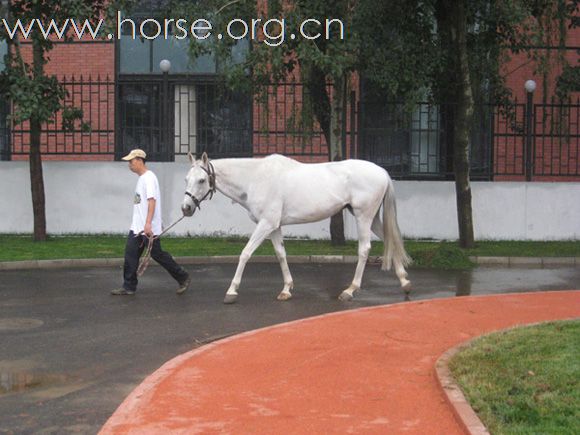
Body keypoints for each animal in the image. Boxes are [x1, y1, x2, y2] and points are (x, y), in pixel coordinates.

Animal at [181, 155, 412, 304]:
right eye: (187, 179)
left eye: (201, 180)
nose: (186, 208)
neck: (256, 178)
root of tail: (382, 171)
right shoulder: (274, 226)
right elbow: (281, 254)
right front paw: (286, 289)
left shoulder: (266, 224)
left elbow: (245, 253)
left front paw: (232, 291)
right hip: (371, 219)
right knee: (390, 240)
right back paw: (404, 282)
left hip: (364, 216)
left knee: (364, 249)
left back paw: (350, 290)